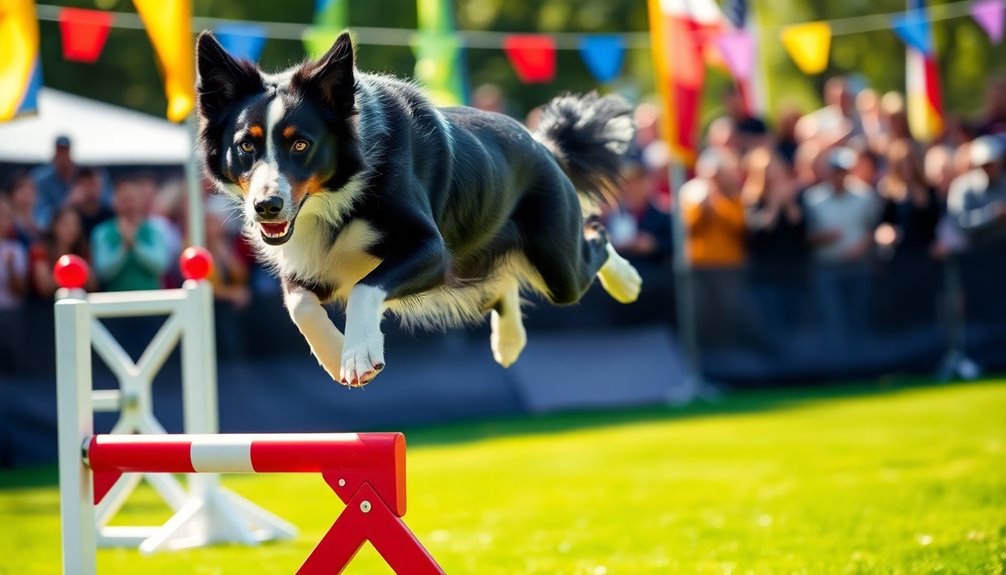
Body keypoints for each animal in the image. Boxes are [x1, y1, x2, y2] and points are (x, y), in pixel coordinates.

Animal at [192, 30, 639, 386]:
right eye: (245, 146)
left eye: (301, 144)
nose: (266, 207)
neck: (335, 196)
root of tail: (545, 145)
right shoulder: (310, 262)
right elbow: (299, 304)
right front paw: (336, 354)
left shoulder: (432, 249)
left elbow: (364, 286)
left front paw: (357, 354)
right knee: (500, 284)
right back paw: (509, 341)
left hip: (556, 261)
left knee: (593, 242)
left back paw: (627, 281)